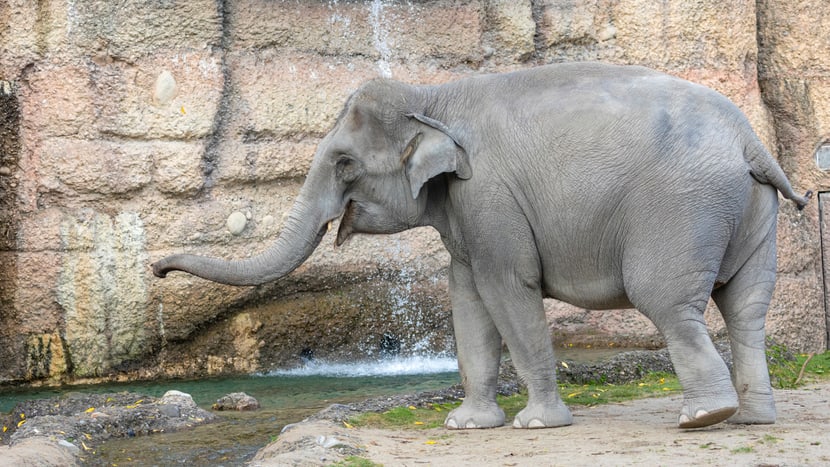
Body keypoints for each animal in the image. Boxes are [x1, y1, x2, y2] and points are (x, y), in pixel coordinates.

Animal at [151, 62, 812, 432]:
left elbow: (506, 290)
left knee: (670, 304)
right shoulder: (466, 212)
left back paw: (704, 419)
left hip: (680, 209)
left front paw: (535, 426)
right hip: (753, 213)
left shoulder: (489, 196)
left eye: (343, 164)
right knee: (746, 309)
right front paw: (466, 425)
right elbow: (467, 299)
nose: (156, 268)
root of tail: (752, 142)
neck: (434, 96)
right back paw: (752, 417)